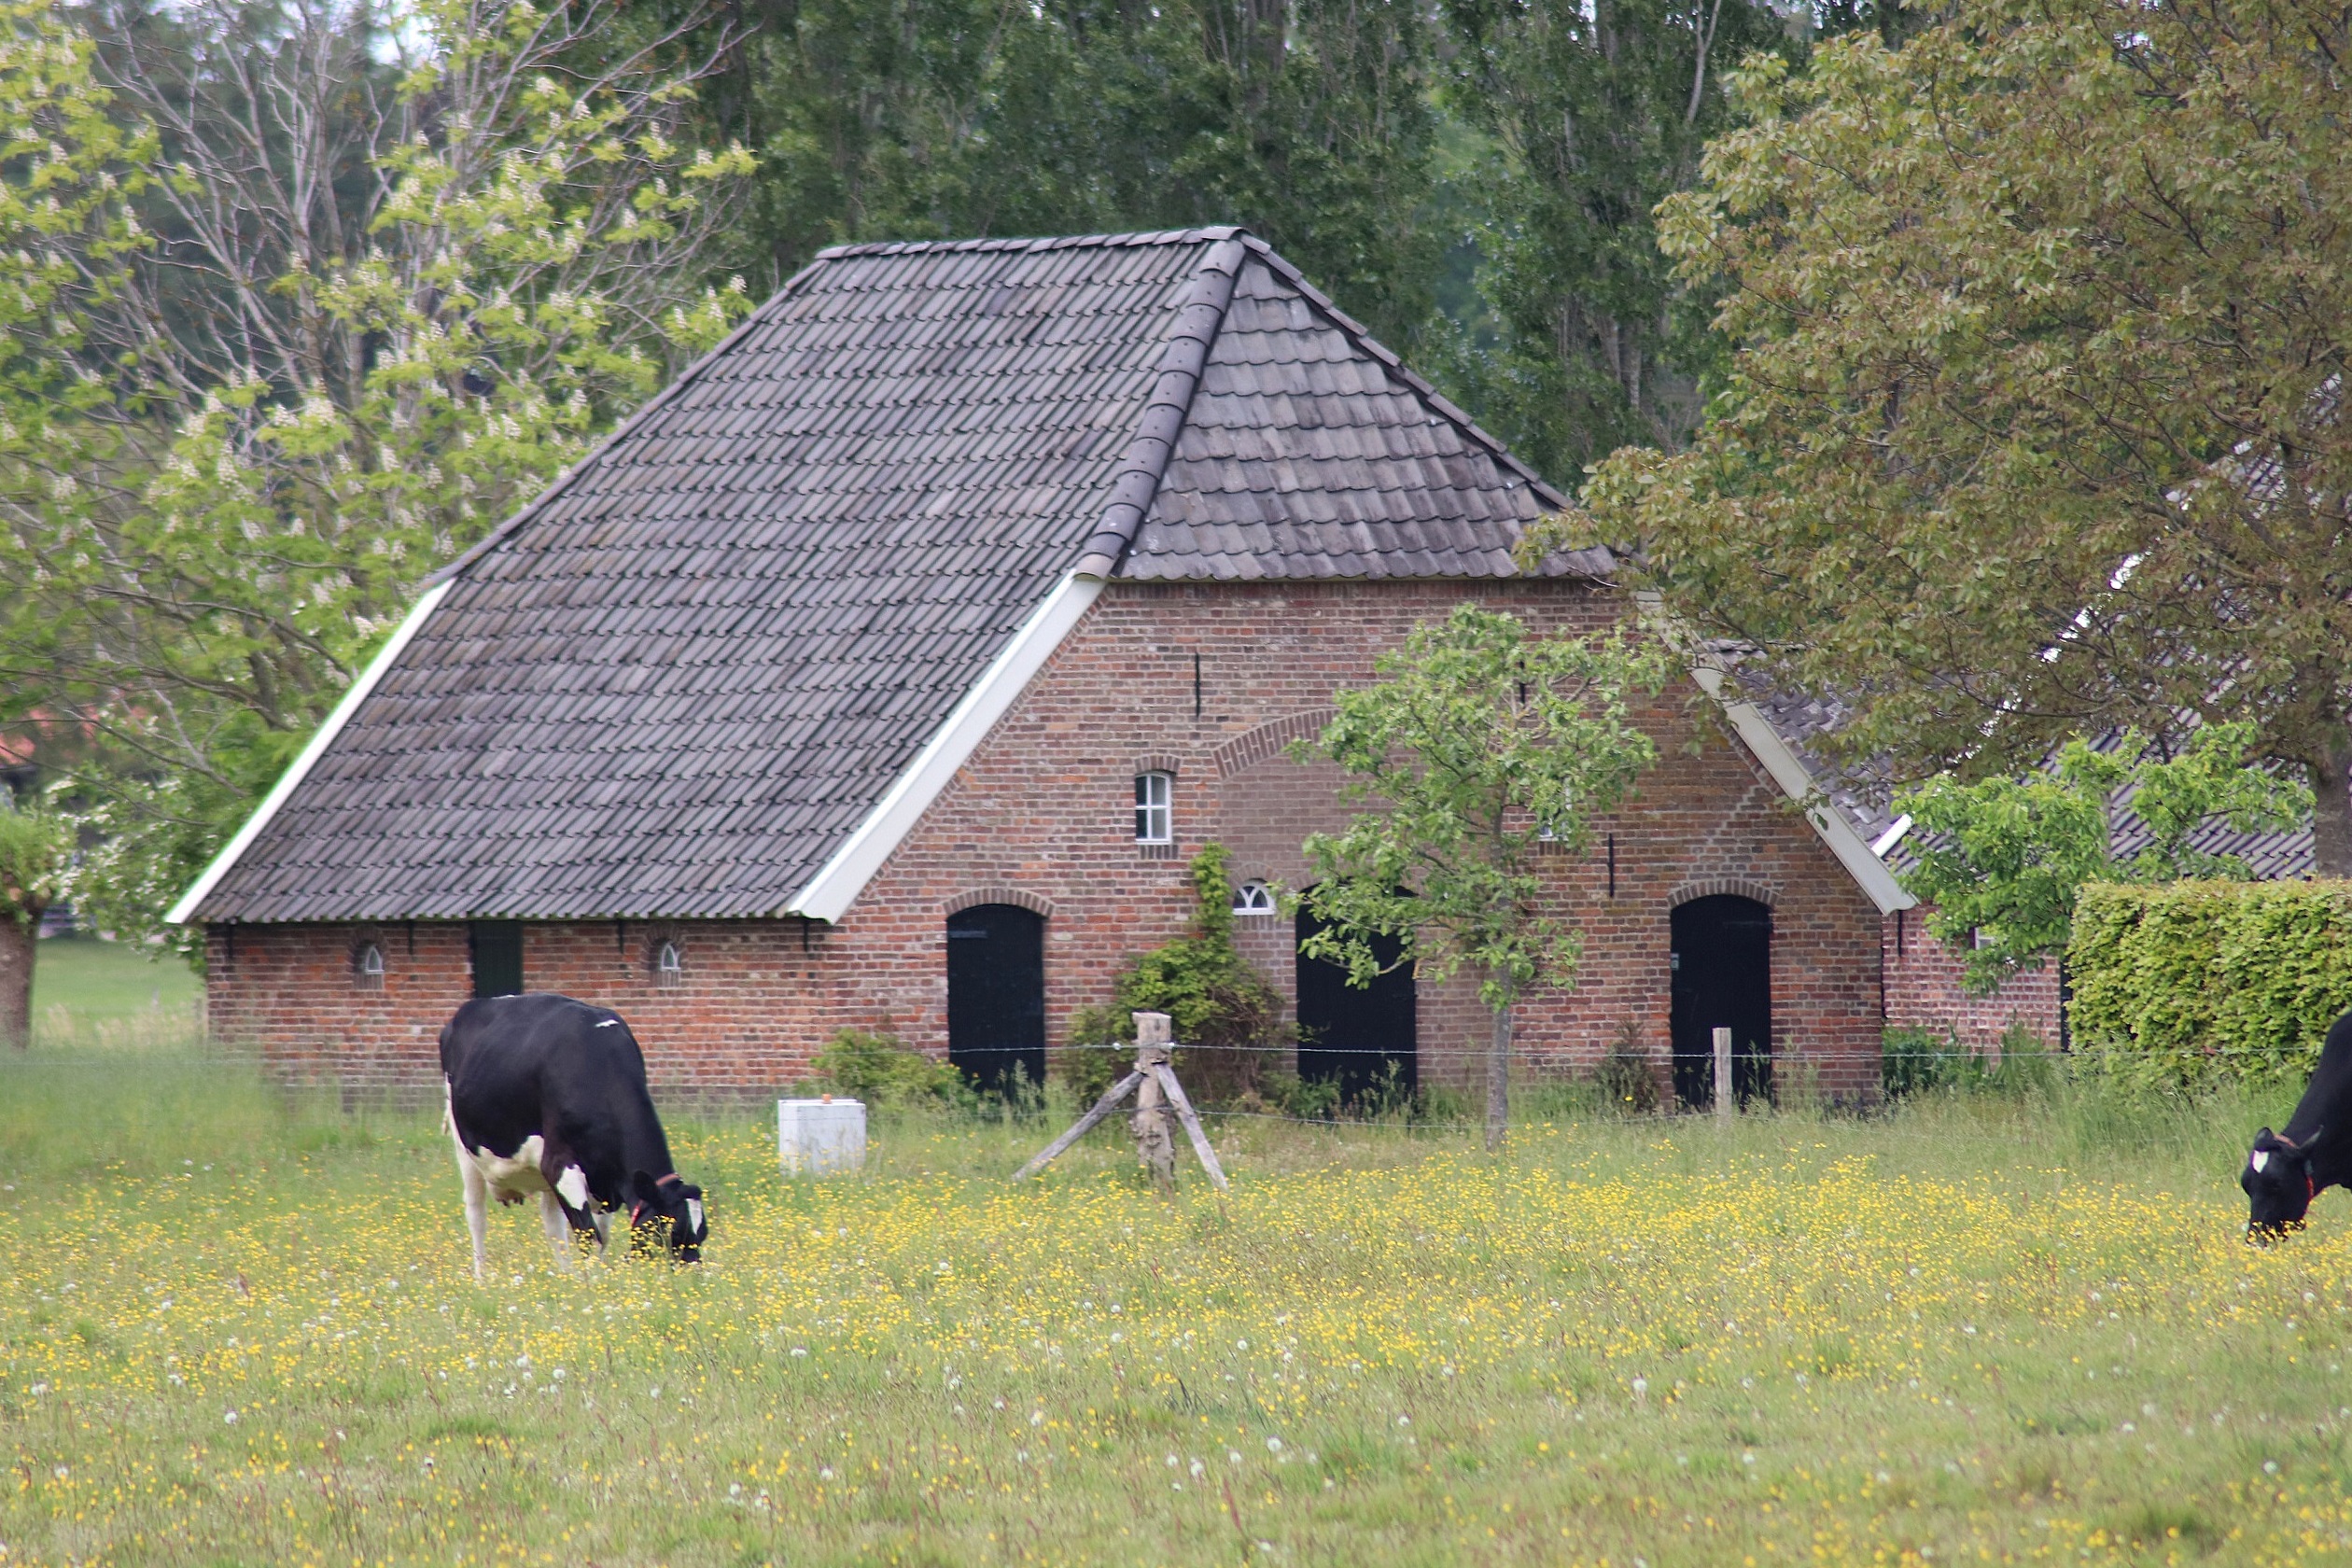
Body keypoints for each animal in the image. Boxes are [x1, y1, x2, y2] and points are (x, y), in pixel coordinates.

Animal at [437, 1001, 700, 1279]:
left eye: (702, 1234)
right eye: (670, 1231)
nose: (692, 1282)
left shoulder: (607, 1182)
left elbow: (601, 1235)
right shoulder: (560, 1164)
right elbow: (588, 1236)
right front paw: (595, 1283)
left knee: (552, 1224)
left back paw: (565, 1276)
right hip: (465, 1149)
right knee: (477, 1214)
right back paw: (482, 1277)